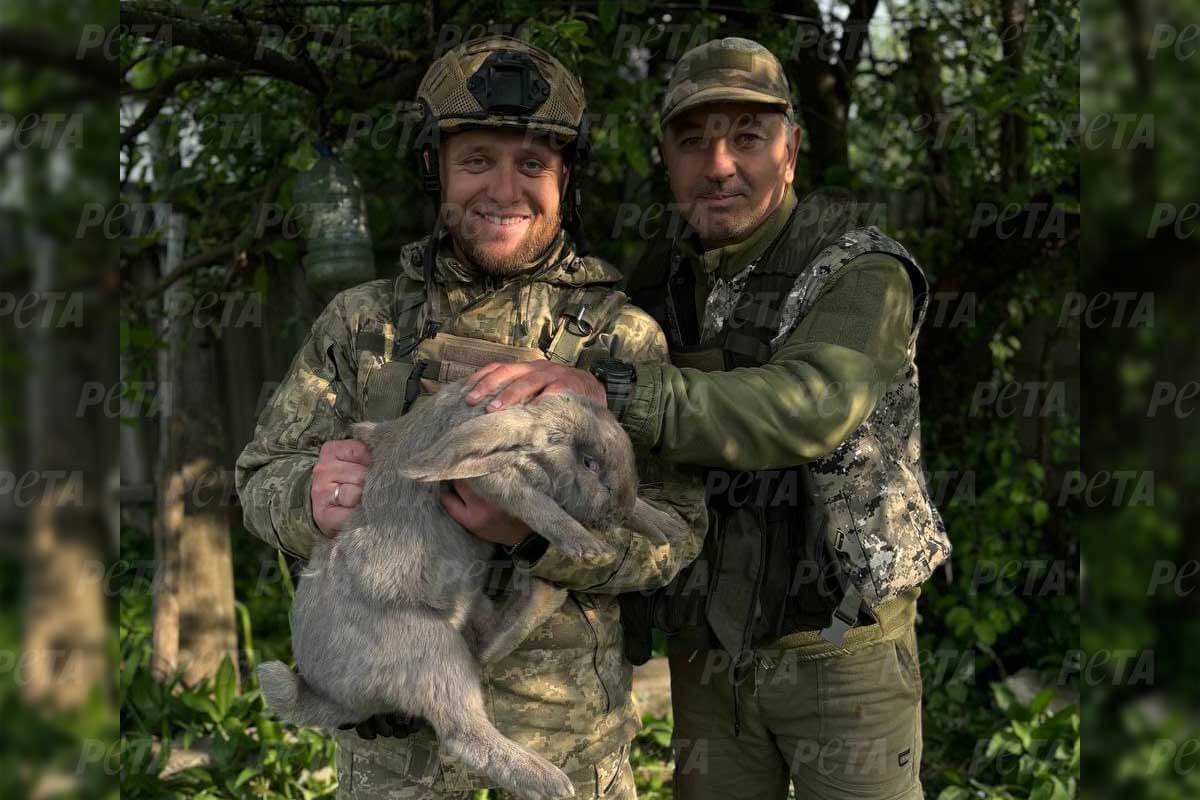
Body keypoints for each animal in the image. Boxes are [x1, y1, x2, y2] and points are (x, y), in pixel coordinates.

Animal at [258, 381, 691, 800]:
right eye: (588, 462)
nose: (619, 509)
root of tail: (328, 695)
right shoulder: (491, 481)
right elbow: (540, 507)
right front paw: (590, 547)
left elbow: (639, 514)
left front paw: (669, 527)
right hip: (432, 649)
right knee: (463, 733)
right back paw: (551, 781)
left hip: (470, 607)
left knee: (484, 650)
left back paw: (543, 595)